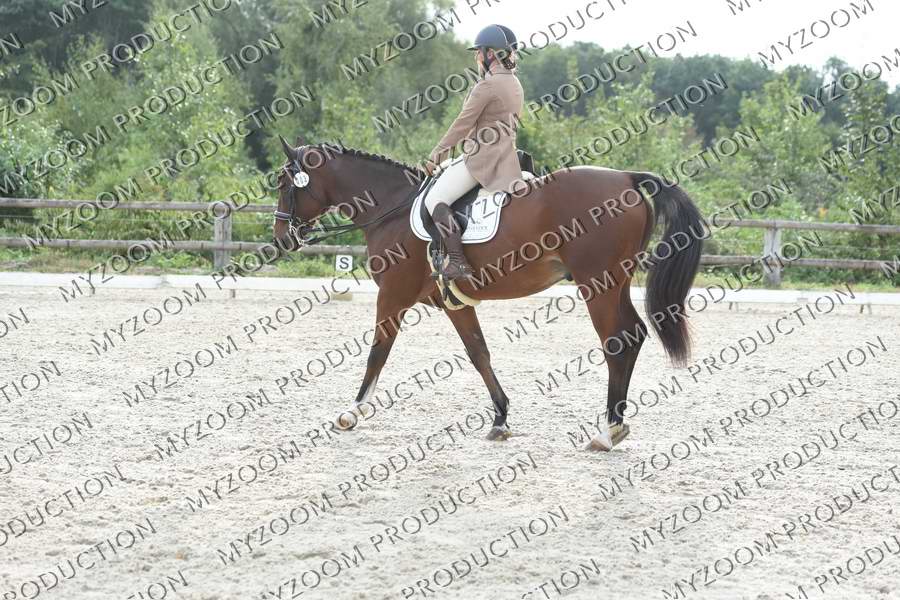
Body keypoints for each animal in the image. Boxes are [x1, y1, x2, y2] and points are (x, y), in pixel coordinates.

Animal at [272, 136, 705, 451]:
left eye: (283, 184)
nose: (281, 239)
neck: (391, 210)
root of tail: (627, 178)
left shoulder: (393, 296)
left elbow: (378, 351)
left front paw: (353, 411)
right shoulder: (454, 302)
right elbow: (478, 353)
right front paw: (500, 419)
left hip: (596, 283)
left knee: (617, 340)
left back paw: (607, 431)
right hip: (616, 281)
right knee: (634, 334)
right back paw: (615, 425)